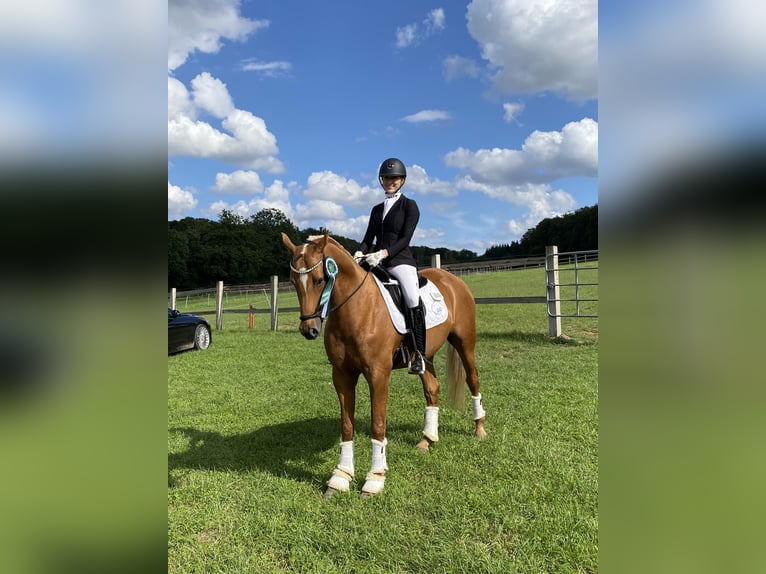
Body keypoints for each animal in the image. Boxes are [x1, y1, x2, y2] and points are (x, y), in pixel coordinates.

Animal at [281, 232, 487, 497]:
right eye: (293, 281)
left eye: (318, 280)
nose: (309, 330)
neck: (357, 307)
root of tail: (453, 280)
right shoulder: (342, 375)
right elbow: (346, 426)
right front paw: (340, 477)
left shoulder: (378, 375)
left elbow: (378, 425)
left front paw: (375, 479)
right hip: (424, 356)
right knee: (432, 388)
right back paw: (427, 439)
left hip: (465, 343)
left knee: (473, 379)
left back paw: (479, 429)